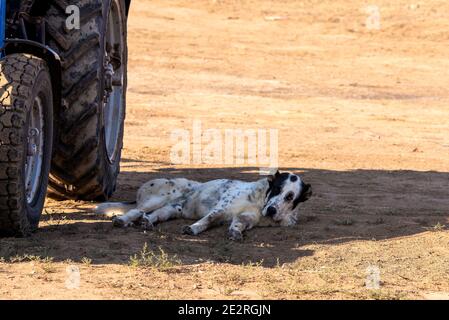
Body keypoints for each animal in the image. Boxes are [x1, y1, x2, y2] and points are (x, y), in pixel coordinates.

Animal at [94, 170, 312, 240]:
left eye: (290, 197)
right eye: (276, 188)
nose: (272, 210)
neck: (260, 202)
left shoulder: (245, 218)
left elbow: (237, 225)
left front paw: (235, 233)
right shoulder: (221, 209)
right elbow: (208, 220)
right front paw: (193, 228)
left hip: (171, 209)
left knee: (152, 216)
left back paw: (146, 223)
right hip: (158, 199)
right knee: (135, 210)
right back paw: (122, 220)